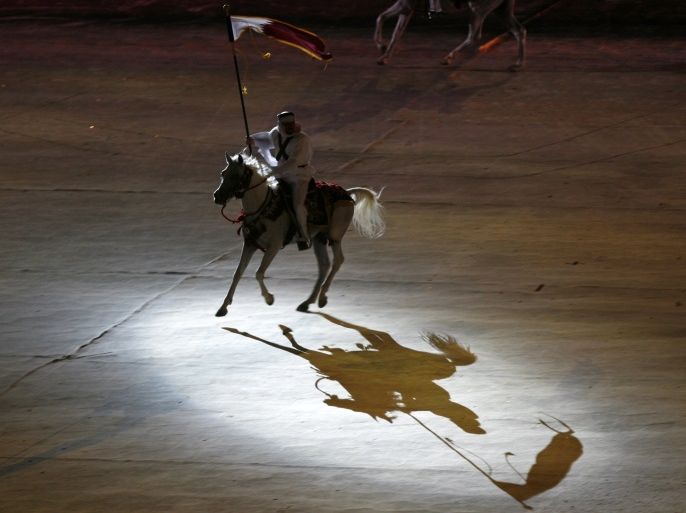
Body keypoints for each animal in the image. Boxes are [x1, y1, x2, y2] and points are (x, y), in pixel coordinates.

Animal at [212, 152, 385, 316]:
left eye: (236, 176)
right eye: (223, 173)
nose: (217, 196)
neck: (263, 207)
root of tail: (347, 194)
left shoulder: (273, 247)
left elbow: (259, 273)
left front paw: (269, 298)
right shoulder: (249, 244)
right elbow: (238, 273)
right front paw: (223, 307)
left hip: (335, 237)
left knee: (338, 261)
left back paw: (322, 296)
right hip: (319, 239)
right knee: (324, 265)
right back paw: (308, 301)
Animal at [375, 0, 526, 68]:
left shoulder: (406, 4)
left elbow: (384, 20)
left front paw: (381, 48)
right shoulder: (406, 5)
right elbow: (393, 29)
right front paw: (384, 54)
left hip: (478, 8)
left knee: (474, 36)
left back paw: (448, 57)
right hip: (502, 9)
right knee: (519, 30)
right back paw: (518, 63)